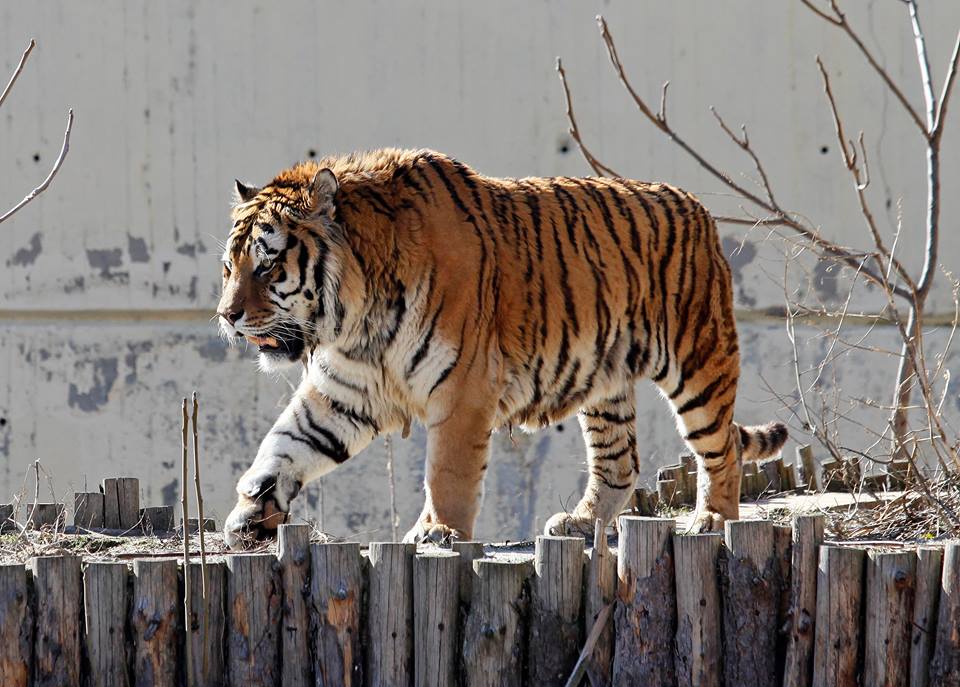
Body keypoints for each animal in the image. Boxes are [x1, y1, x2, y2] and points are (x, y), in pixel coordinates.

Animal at [218, 148, 788, 544]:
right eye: (229, 267)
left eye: (267, 265)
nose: (226, 315)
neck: (355, 320)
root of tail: (698, 208)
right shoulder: (344, 391)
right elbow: (285, 444)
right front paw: (249, 511)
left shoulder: (462, 388)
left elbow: (446, 471)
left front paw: (439, 531)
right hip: (606, 382)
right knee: (620, 463)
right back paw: (579, 523)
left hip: (698, 360)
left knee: (722, 447)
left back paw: (712, 518)